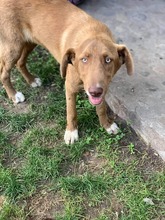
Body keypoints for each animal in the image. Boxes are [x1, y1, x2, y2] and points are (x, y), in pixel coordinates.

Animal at [0, 0, 133, 144]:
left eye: (108, 60)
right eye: (84, 59)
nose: (95, 92)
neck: (93, 33)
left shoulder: (103, 87)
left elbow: (101, 108)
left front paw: (107, 125)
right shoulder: (70, 87)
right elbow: (71, 112)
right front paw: (71, 132)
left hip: (30, 42)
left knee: (20, 62)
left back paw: (31, 80)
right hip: (13, 47)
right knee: (4, 73)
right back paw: (14, 95)